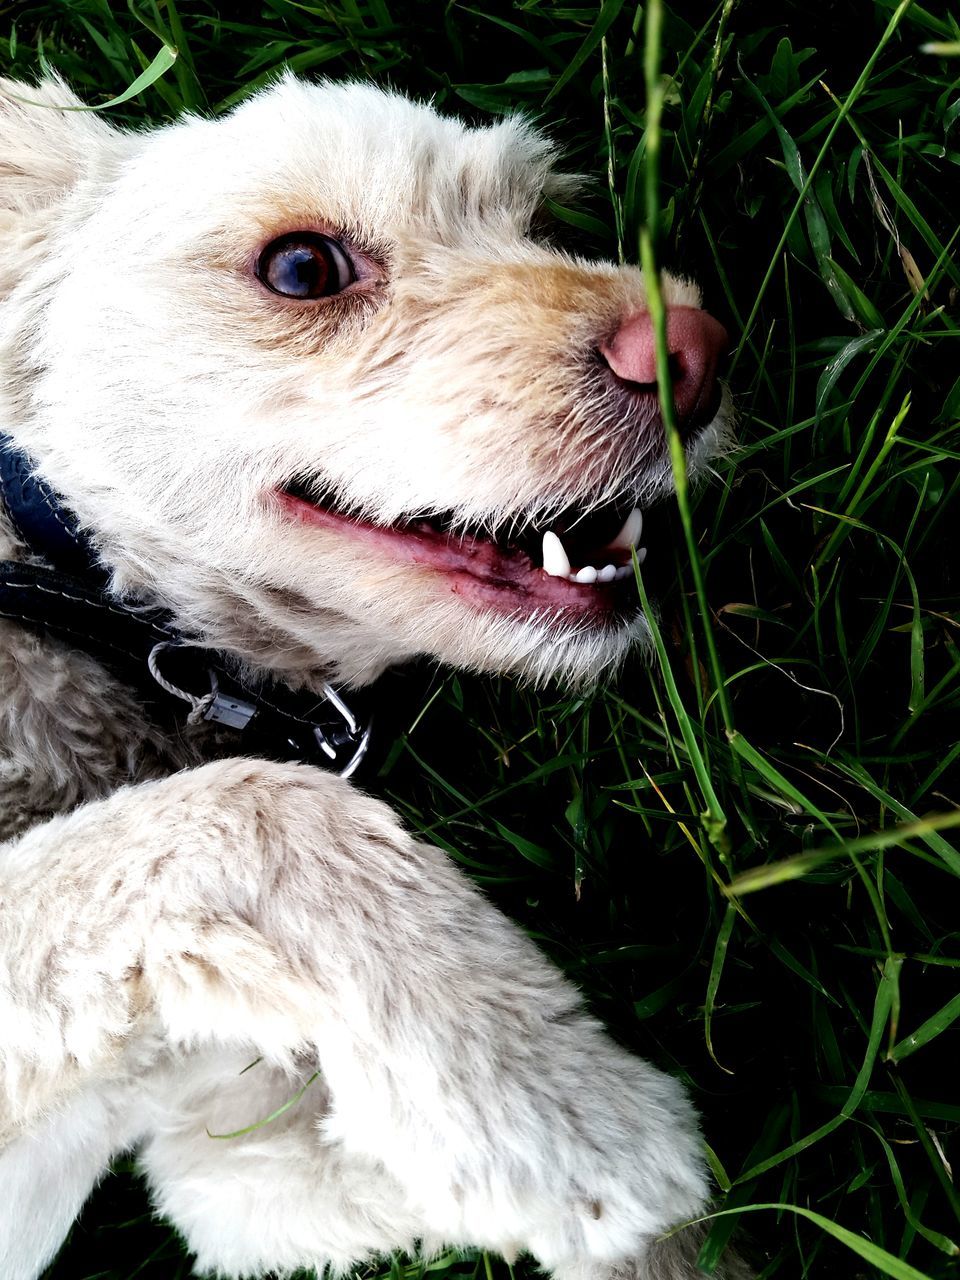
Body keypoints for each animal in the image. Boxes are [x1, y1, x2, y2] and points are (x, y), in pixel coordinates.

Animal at [0, 74, 742, 1274]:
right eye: (302, 268)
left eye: (537, 221)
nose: (694, 347)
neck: (86, 601)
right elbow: (260, 812)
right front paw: (559, 1104)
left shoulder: (224, 1161)